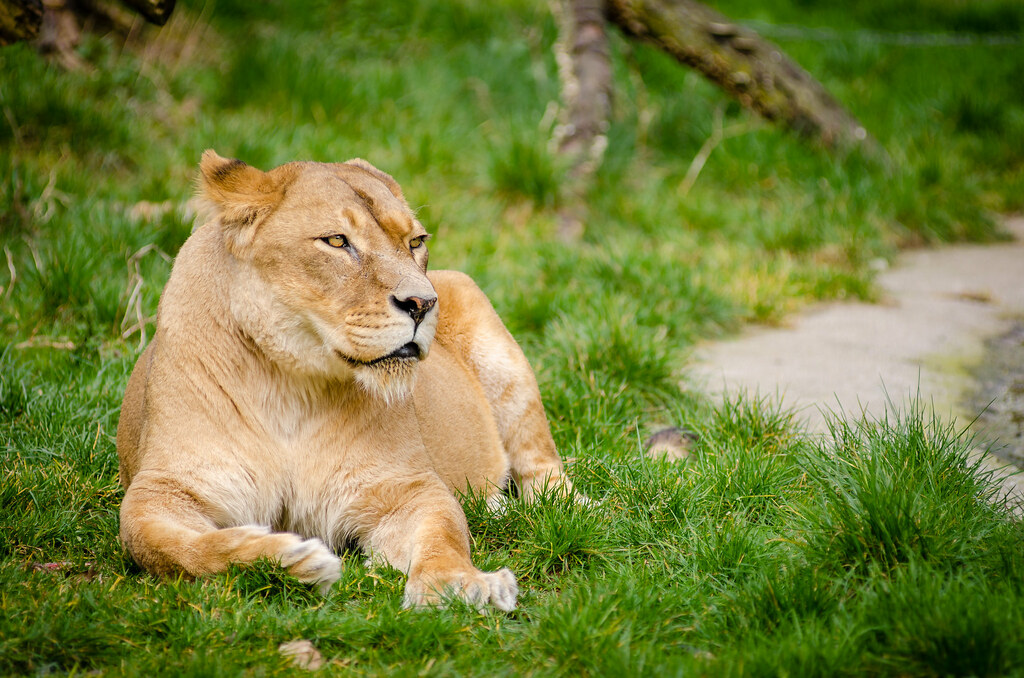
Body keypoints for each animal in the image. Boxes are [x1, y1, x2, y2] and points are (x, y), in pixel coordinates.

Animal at [115, 150, 574, 611]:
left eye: (415, 242)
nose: (424, 303)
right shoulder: (162, 489)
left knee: (543, 468)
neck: (291, 386)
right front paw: (290, 560)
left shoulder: (405, 487)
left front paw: (459, 585)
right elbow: (169, 546)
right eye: (337, 242)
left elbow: (443, 534)